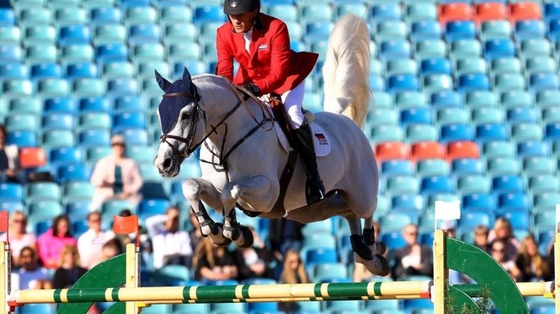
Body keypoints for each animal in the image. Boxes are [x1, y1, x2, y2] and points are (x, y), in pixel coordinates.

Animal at [153, 14, 390, 274]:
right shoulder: (216, 190)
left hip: (359, 191)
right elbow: (192, 187)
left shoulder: (267, 193)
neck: (228, 138)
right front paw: (215, 230)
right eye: (159, 113)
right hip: (307, 210)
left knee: (367, 208)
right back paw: (364, 253)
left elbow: (230, 190)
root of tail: (345, 121)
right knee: (347, 210)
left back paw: (373, 251)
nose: (163, 164)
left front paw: (232, 231)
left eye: (185, 115)